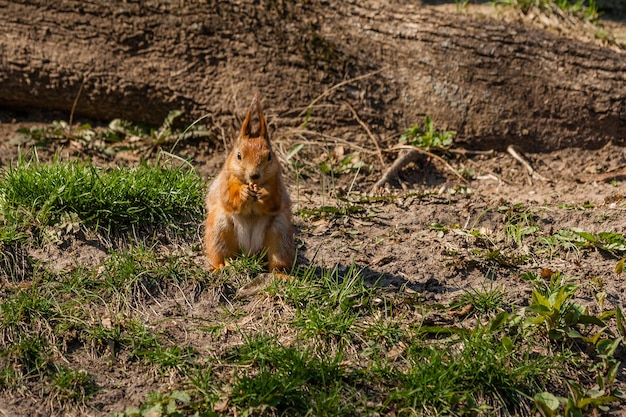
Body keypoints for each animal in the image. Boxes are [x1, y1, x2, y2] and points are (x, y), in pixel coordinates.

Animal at [202, 95, 294, 272]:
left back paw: (280, 273)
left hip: (280, 232)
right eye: (238, 155)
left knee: (277, 257)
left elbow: (275, 201)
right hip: (219, 228)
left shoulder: (277, 182)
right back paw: (222, 265)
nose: (254, 175)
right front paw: (242, 193)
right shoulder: (225, 181)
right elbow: (228, 199)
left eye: (269, 156)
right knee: (222, 253)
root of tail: (250, 253)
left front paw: (264, 193)